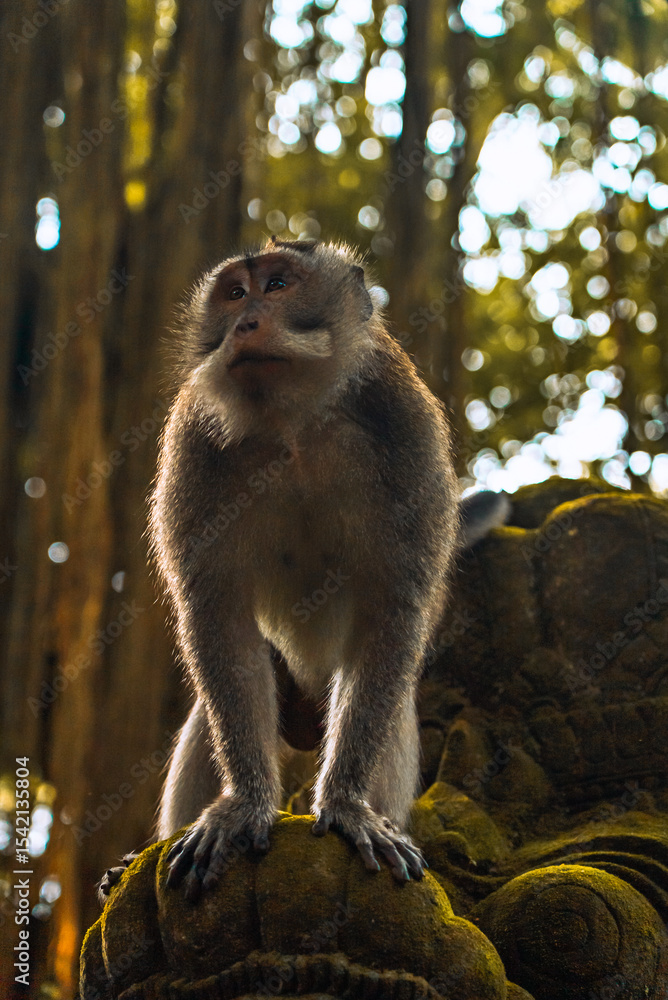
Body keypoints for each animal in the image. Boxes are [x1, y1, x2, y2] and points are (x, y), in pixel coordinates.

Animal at [98, 237, 507, 904]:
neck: (293, 421)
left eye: (279, 284)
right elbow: (218, 619)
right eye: (234, 293)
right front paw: (245, 806)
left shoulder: (404, 423)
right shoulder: (193, 441)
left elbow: (394, 610)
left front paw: (344, 805)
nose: (244, 323)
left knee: (390, 706)